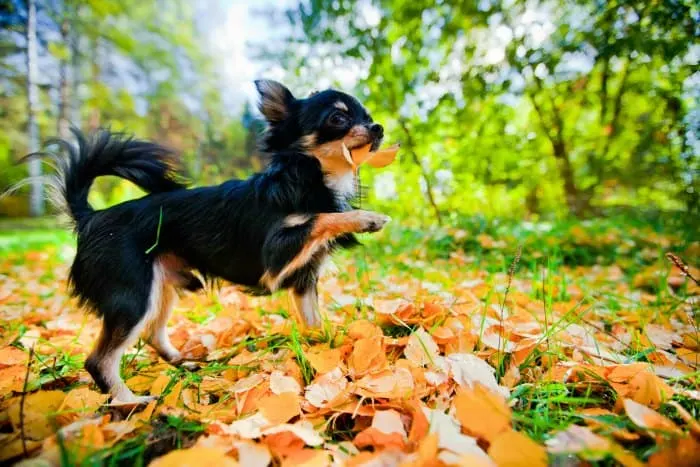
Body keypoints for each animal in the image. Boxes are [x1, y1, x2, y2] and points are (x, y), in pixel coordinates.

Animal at [32, 80, 392, 402]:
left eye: (367, 115)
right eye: (338, 118)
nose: (378, 127)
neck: (308, 177)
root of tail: (91, 217)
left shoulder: (304, 280)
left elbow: (315, 323)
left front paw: (327, 349)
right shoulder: (276, 256)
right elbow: (321, 218)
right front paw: (366, 217)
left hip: (159, 287)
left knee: (152, 333)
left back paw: (184, 364)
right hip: (133, 297)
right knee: (99, 360)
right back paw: (129, 403)